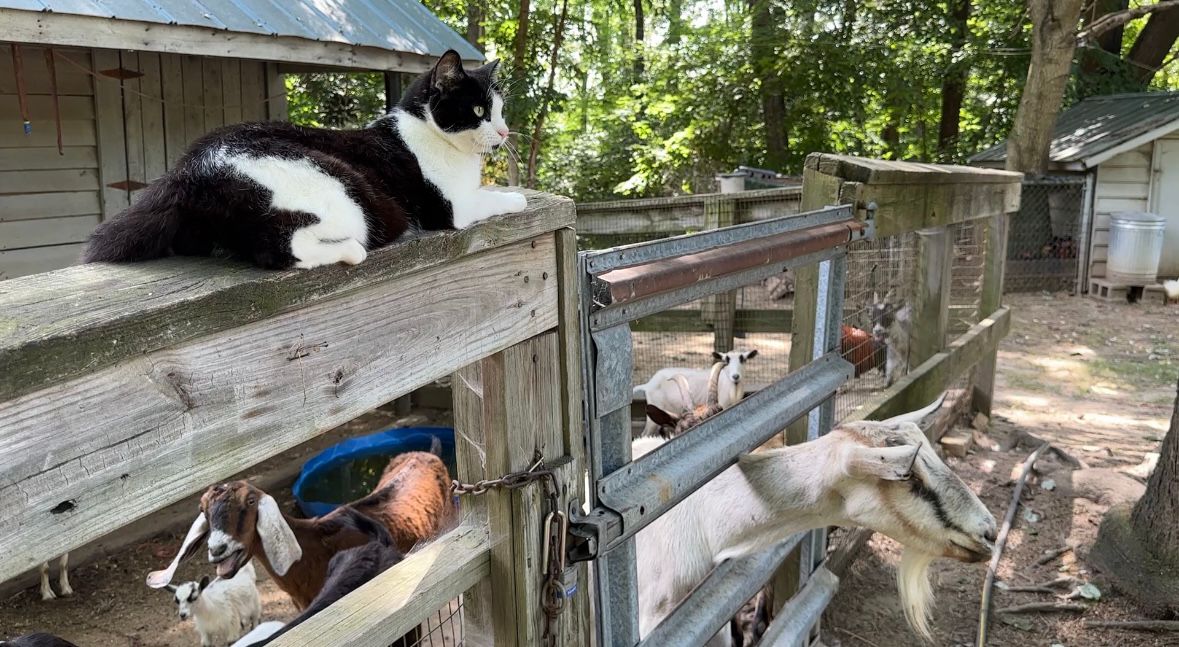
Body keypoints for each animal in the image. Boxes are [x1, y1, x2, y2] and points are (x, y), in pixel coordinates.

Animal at [80, 50, 523, 269]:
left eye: (501, 111)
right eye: (480, 111)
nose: (504, 132)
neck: (426, 131)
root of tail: (188, 170)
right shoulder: (451, 208)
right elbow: (489, 198)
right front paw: (518, 197)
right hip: (346, 195)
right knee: (281, 246)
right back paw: (350, 250)